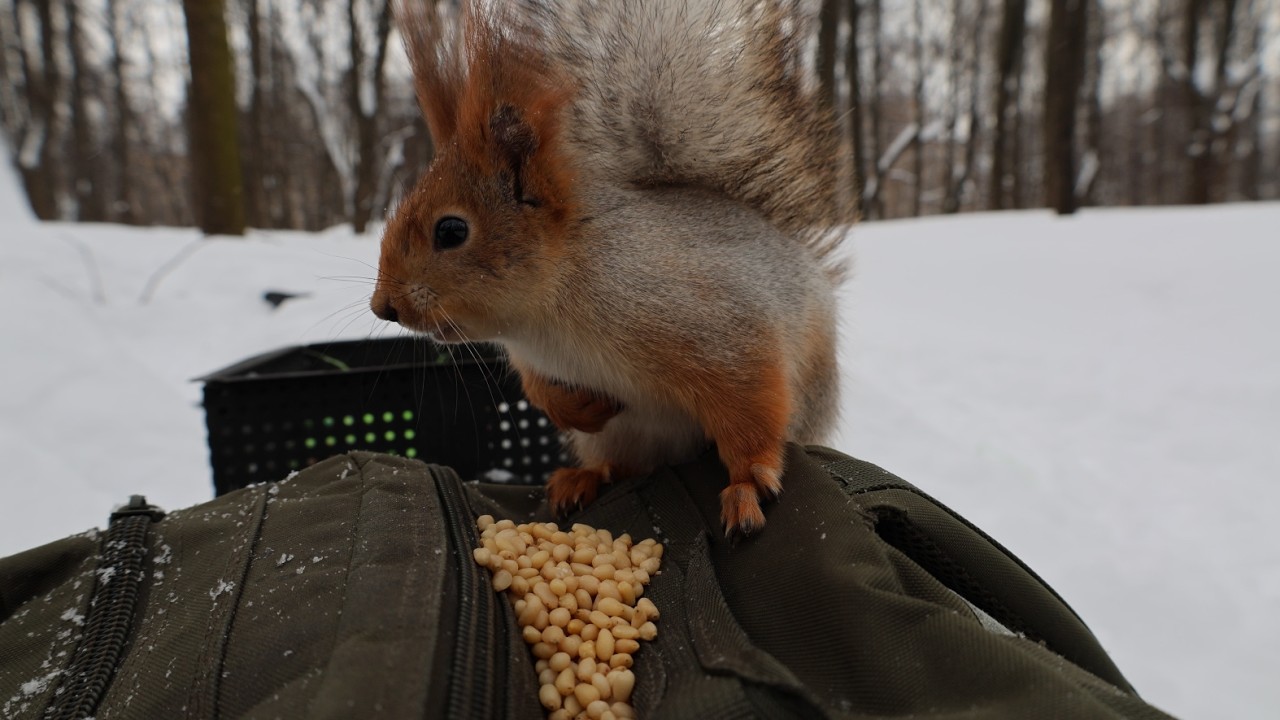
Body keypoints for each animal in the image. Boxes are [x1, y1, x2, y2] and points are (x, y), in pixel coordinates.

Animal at [371, 0, 853, 534]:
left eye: (451, 231)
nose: (383, 306)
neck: (542, 321)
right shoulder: (533, 359)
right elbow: (540, 389)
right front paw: (578, 407)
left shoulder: (718, 330)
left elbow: (750, 407)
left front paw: (748, 481)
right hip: (624, 437)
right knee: (623, 465)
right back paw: (583, 477)